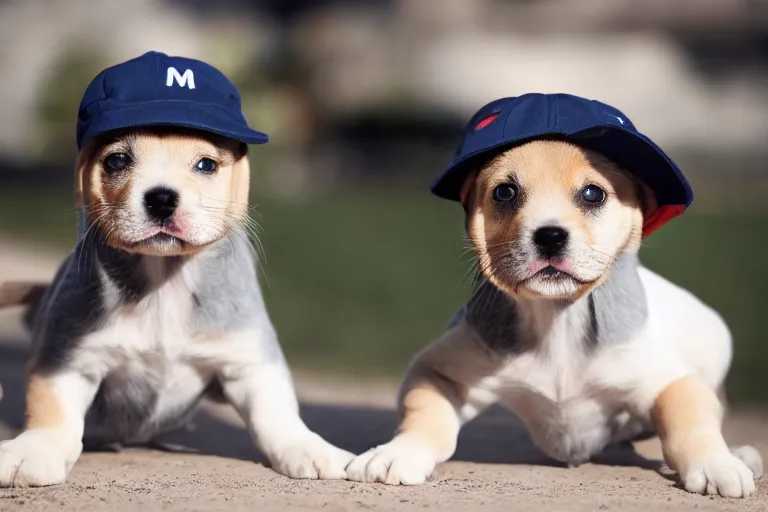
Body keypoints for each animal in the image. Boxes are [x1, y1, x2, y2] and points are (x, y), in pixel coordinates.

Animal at [0, 53, 354, 488]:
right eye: (117, 160)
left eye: (206, 164)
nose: (162, 198)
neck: (164, 280)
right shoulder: (68, 360)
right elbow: (53, 411)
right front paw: (34, 449)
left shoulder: (249, 360)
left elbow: (276, 413)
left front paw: (307, 447)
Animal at [348, 93, 760, 496]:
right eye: (505, 192)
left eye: (593, 193)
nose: (549, 236)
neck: (557, 318)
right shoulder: (438, 370)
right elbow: (423, 415)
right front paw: (399, 452)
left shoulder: (670, 380)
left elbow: (691, 422)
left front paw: (716, 464)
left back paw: (740, 453)